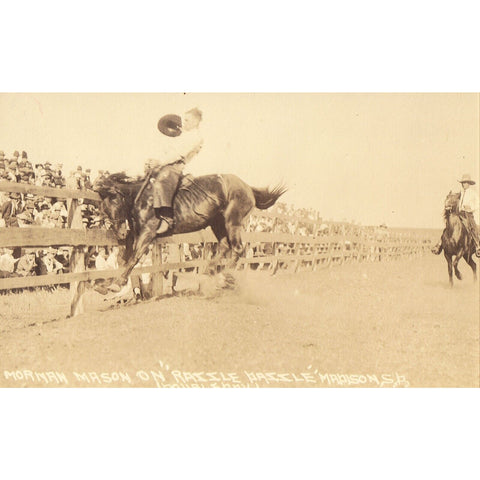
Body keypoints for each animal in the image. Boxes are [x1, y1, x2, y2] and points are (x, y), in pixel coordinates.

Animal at [93, 169, 284, 292]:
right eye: (104, 210)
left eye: (115, 202)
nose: (120, 233)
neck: (144, 199)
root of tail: (247, 187)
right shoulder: (135, 233)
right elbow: (124, 257)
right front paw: (109, 283)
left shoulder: (148, 233)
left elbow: (134, 257)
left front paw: (116, 283)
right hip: (217, 223)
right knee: (223, 247)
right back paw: (209, 273)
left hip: (232, 222)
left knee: (237, 249)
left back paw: (223, 277)